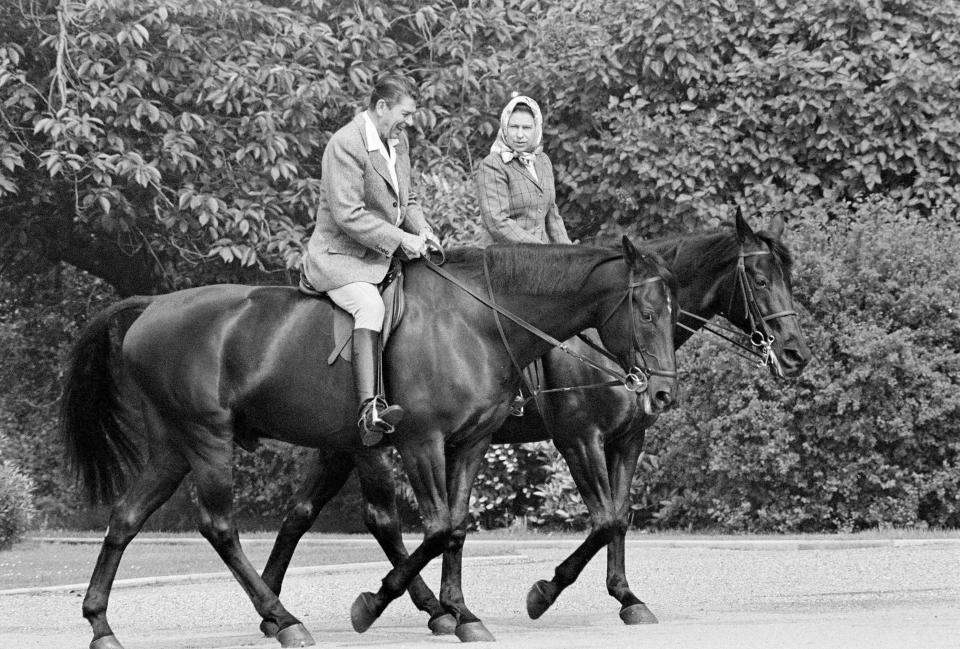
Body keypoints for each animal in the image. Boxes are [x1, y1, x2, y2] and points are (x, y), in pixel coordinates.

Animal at [62, 239, 676, 648]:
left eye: (672, 314)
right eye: (647, 314)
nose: (662, 393)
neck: (475, 321)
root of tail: (154, 306)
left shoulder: (470, 443)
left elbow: (457, 527)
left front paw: (461, 613)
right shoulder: (427, 442)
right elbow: (440, 527)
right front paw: (375, 605)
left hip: (175, 448)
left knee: (126, 517)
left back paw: (101, 623)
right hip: (209, 440)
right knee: (220, 527)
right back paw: (285, 619)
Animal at [251, 211, 808, 632]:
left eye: (789, 279)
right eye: (760, 280)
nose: (796, 354)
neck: (598, 340)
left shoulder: (628, 440)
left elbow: (621, 516)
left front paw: (627, 597)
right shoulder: (580, 440)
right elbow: (604, 519)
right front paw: (544, 592)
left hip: (341, 445)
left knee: (303, 511)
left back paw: (278, 603)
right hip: (370, 446)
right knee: (381, 519)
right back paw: (410, 607)